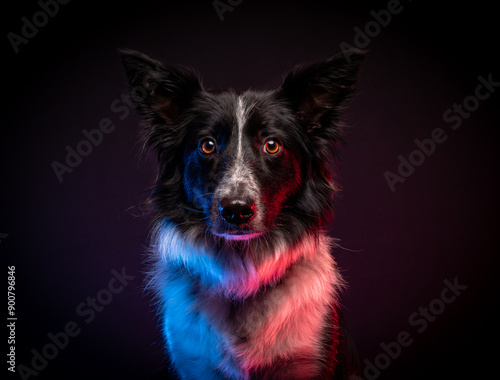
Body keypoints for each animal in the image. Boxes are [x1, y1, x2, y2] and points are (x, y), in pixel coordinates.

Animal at [121, 49, 364, 378]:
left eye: (272, 145)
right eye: (207, 145)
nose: (235, 211)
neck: (243, 273)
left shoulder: (308, 360)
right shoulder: (193, 361)